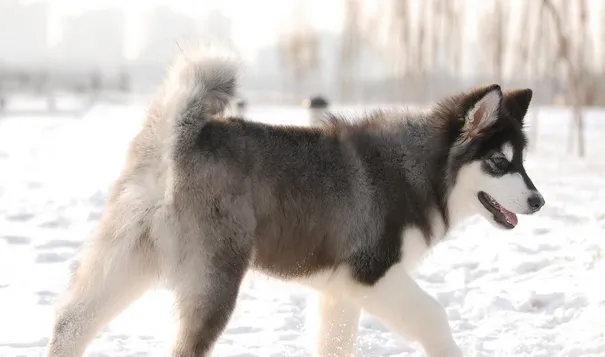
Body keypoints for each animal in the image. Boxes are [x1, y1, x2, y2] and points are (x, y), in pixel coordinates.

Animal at [42, 47, 544, 356]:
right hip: (214, 278)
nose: (538, 200)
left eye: (522, 160)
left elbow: (335, 344)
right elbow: (435, 318)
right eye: (499, 162)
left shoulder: (340, 291)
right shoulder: (373, 274)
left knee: (71, 321)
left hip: (130, 255)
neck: (420, 168)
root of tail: (179, 137)